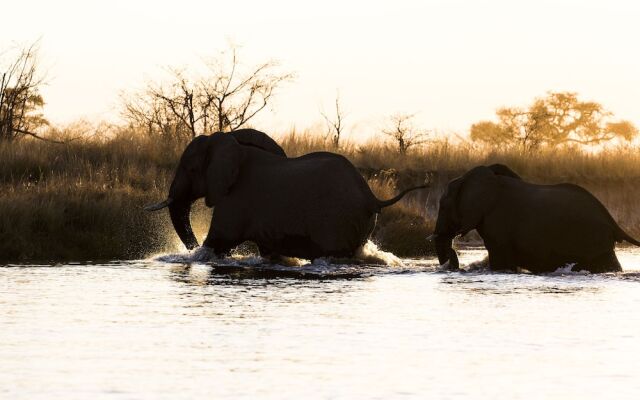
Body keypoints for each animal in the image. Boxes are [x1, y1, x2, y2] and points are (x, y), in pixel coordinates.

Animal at [145, 128, 424, 260]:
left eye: (191, 169)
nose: (189, 250)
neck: (231, 143)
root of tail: (372, 197)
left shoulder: (236, 199)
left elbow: (220, 240)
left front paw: (200, 256)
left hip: (336, 221)